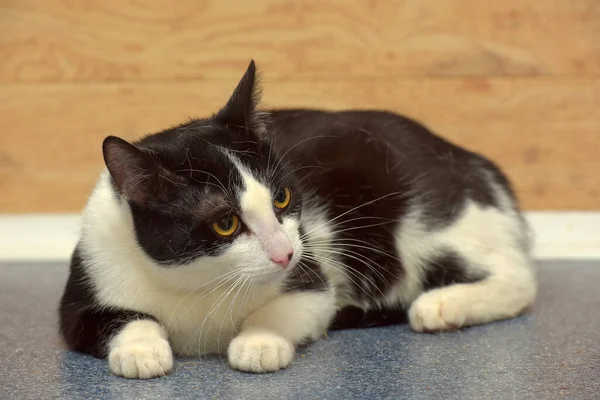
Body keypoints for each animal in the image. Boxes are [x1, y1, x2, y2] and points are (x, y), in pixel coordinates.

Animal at [58, 59, 536, 378]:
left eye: (283, 198)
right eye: (225, 223)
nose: (285, 253)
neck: (199, 285)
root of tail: (464, 155)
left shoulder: (313, 276)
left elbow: (296, 304)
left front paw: (259, 341)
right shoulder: (86, 285)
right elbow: (121, 318)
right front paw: (141, 351)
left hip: (426, 220)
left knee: (518, 277)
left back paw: (442, 304)